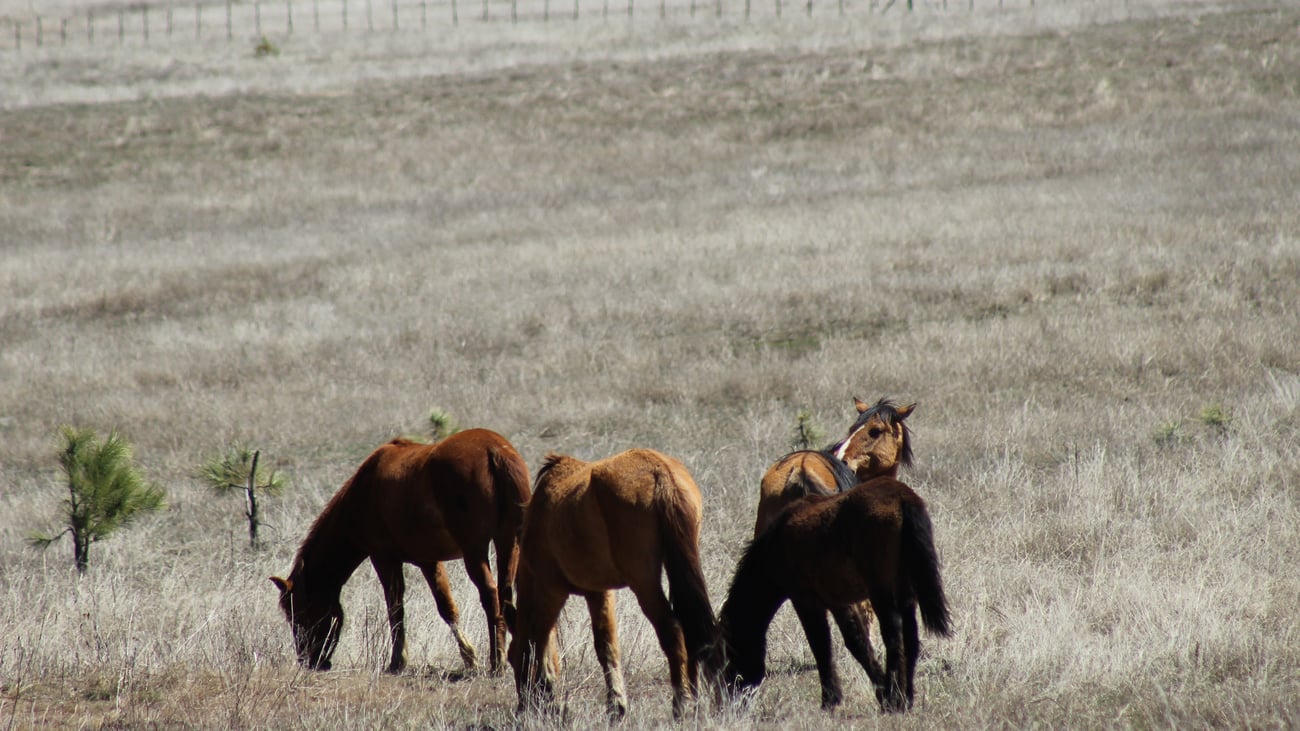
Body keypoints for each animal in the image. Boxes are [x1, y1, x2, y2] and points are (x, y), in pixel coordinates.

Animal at [269, 428, 530, 676]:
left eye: (299, 614)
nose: (308, 661)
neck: (363, 492)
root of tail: (493, 450)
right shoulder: (430, 561)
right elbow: (447, 608)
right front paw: (469, 657)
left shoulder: (384, 558)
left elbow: (395, 607)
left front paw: (397, 661)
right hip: (509, 543)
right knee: (505, 593)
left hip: (475, 551)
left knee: (490, 594)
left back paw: (497, 662)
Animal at [507, 449, 717, 721]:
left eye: (511, 658)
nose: (522, 707)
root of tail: (659, 471)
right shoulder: (599, 593)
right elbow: (607, 646)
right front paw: (616, 704)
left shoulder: (550, 590)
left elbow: (538, 641)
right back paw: (694, 700)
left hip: (643, 582)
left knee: (672, 629)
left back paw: (680, 704)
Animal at [714, 477, 951, 713]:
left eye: (729, 659)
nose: (730, 702)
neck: (777, 545)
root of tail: (902, 496)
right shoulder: (838, 602)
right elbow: (858, 644)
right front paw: (879, 691)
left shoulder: (806, 602)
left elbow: (821, 646)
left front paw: (831, 699)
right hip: (905, 591)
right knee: (910, 636)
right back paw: (906, 697)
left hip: (882, 592)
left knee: (893, 636)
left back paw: (895, 700)